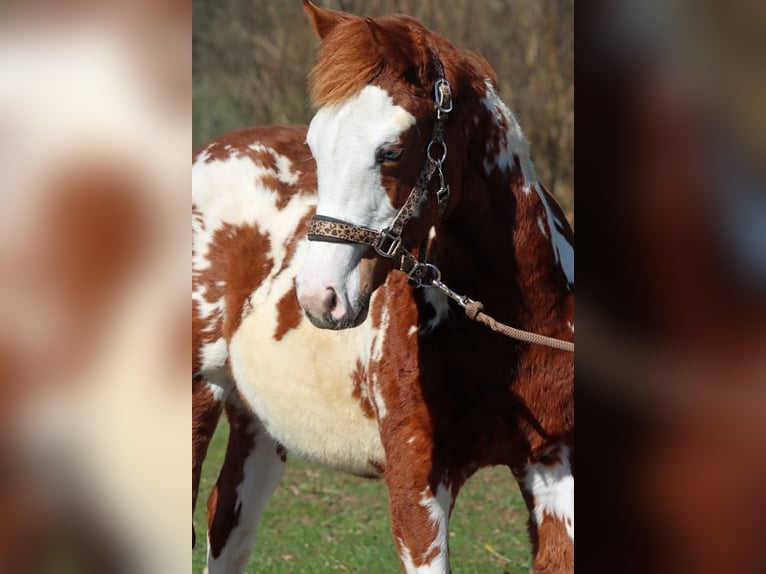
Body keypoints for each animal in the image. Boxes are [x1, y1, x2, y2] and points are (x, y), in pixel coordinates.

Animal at [192, 2, 574, 572]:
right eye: (315, 145)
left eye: (390, 150)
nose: (319, 296)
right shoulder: (417, 482)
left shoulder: (555, 469)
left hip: (255, 419)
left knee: (228, 525)